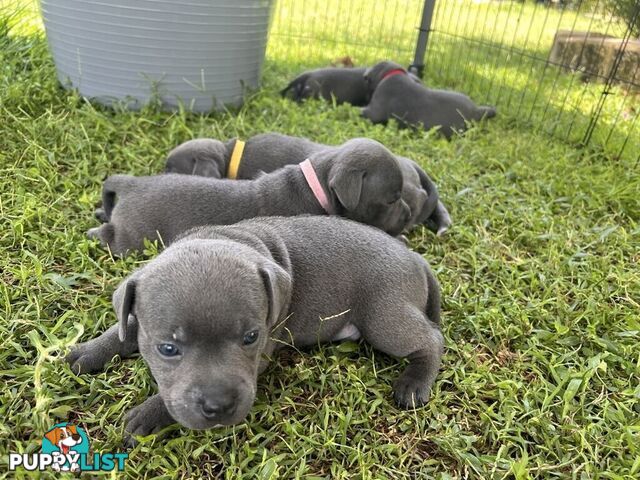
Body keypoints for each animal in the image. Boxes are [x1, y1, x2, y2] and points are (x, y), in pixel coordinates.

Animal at [66, 216, 444, 444]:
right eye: (168, 349)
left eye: (251, 338)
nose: (218, 406)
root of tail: (416, 259)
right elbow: (124, 330)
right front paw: (89, 352)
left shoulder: (263, 352)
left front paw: (148, 415)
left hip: (384, 316)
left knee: (431, 339)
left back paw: (414, 384)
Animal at [89, 138, 410, 255]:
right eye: (391, 199)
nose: (408, 215)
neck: (316, 186)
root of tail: (132, 184)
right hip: (135, 238)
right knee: (113, 237)